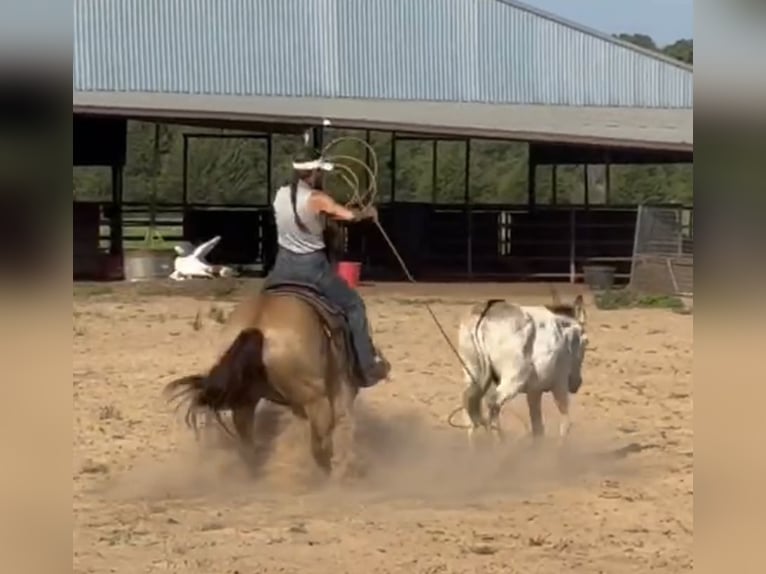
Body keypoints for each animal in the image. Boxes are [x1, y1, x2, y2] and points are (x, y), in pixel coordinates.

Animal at [460, 294, 592, 448]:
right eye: (586, 341)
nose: (577, 383)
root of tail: (484, 315)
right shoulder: (559, 385)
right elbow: (566, 423)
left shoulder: (534, 391)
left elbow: (538, 428)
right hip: (513, 379)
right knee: (492, 404)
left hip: (472, 374)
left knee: (471, 409)